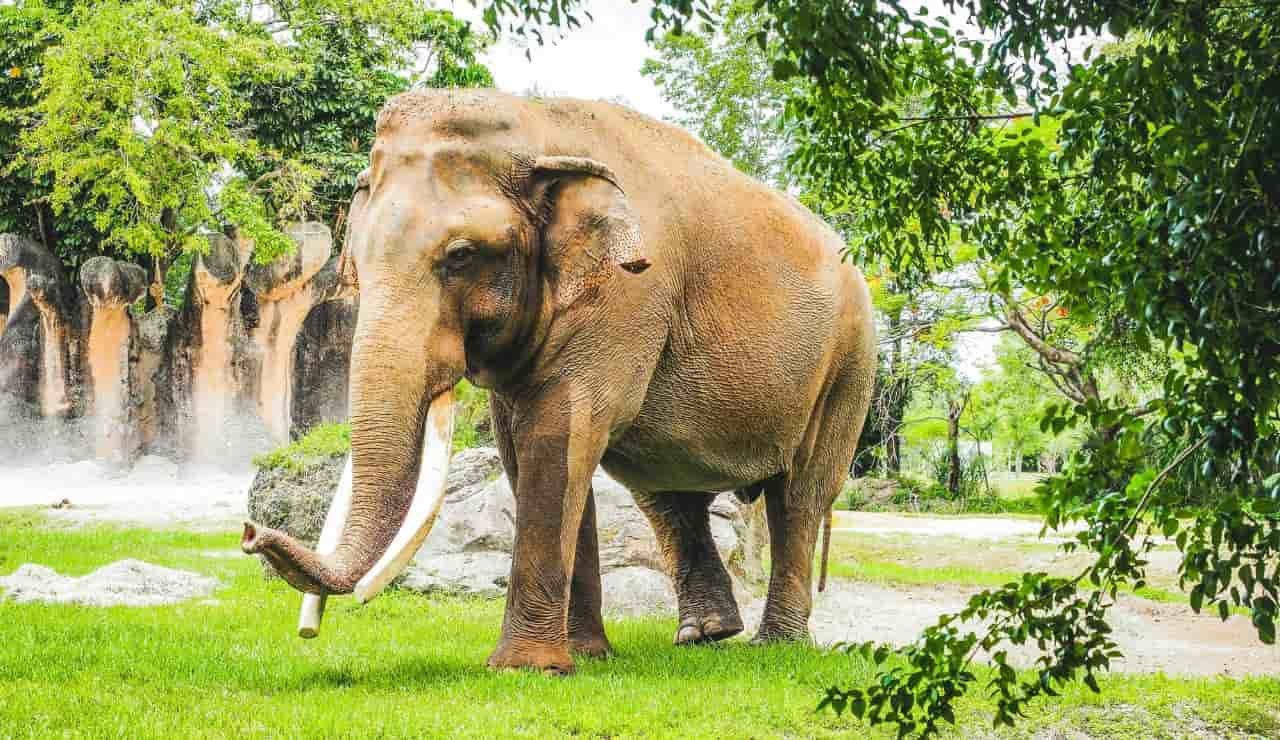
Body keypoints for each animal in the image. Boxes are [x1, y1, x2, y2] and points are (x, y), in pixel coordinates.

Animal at [242, 89, 876, 674]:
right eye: (357, 260)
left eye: (461, 255)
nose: (250, 533)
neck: (538, 124)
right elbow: (525, 450)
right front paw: (587, 657)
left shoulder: (627, 293)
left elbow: (559, 432)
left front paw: (524, 667)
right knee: (666, 494)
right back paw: (705, 634)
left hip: (849, 363)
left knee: (799, 494)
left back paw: (778, 645)